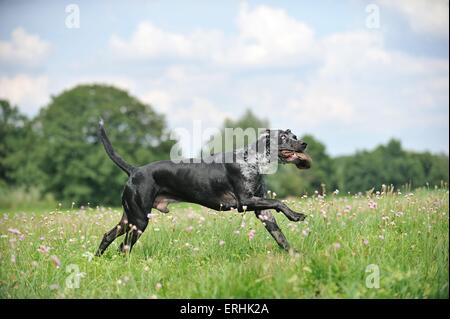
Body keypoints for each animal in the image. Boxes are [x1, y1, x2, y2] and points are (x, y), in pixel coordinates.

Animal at [95, 120, 312, 258]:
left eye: (294, 135)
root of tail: (135, 170)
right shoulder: (244, 202)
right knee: (124, 247)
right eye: (283, 137)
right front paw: (295, 215)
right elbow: (279, 202)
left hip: (129, 219)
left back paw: (96, 258)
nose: (303, 143)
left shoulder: (262, 211)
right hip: (139, 220)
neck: (252, 159)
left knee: (108, 236)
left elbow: (280, 237)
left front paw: (295, 255)